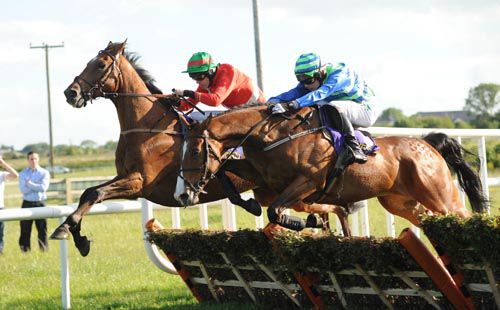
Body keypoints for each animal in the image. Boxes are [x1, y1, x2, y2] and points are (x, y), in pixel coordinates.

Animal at [50, 40, 348, 256]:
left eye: (100, 64)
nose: (70, 93)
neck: (148, 126)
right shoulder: (126, 178)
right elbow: (88, 192)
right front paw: (75, 235)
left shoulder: (139, 182)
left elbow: (94, 193)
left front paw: (65, 230)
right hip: (275, 191)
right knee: (324, 210)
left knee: (332, 209)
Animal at [176, 104, 488, 232]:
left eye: (195, 150)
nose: (183, 195)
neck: (273, 136)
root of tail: (427, 143)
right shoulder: (266, 179)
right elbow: (230, 177)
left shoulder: (309, 181)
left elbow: (276, 210)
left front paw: (304, 222)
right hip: (400, 202)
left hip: (440, 196)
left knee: (462, 215)